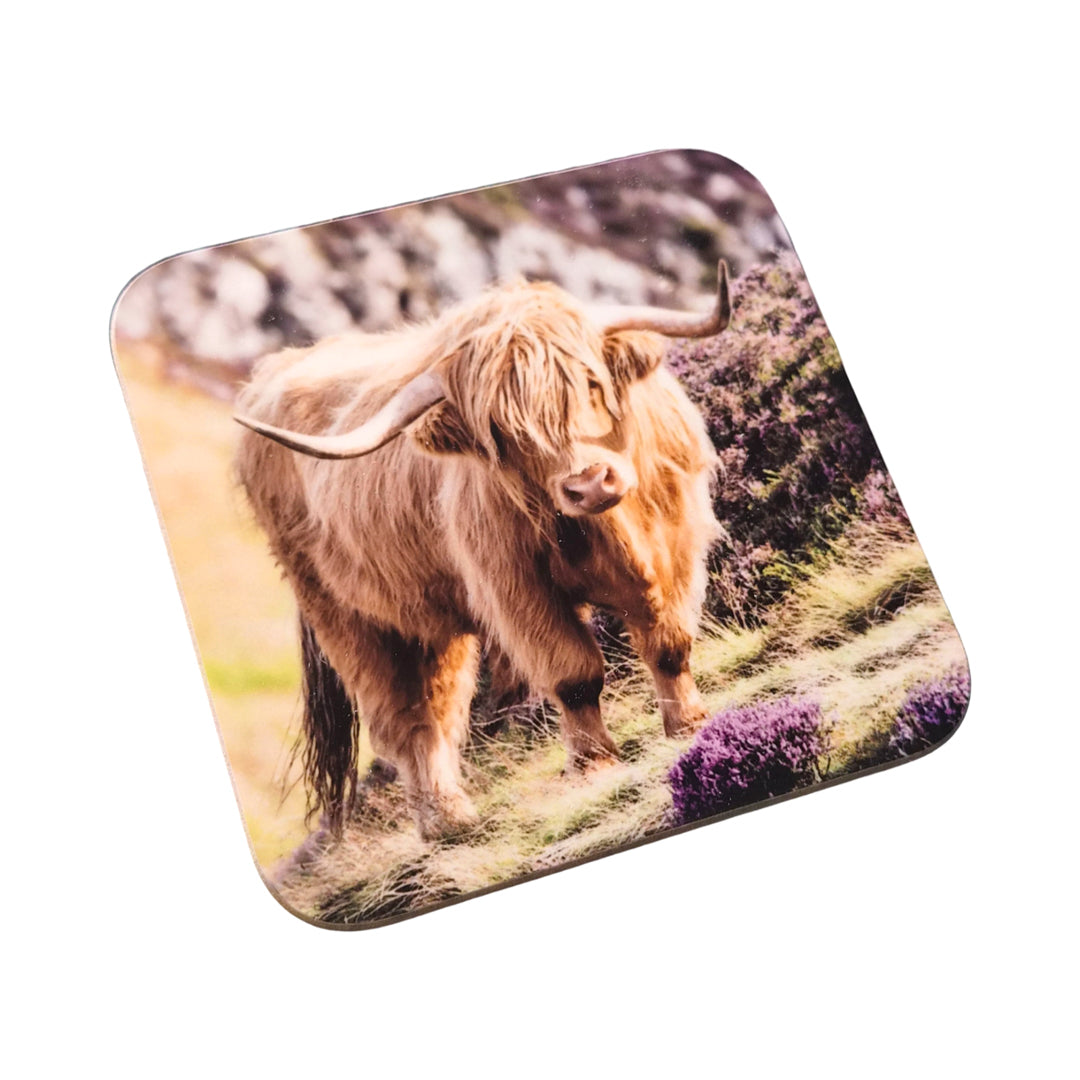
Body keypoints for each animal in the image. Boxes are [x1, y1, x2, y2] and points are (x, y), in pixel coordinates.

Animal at [234, 263, 730, 840]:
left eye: (590, 383)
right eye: (504, 431)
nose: (589, 483)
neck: (616, 529)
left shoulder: (678, 542)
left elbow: (670, 642)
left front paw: (690, 724)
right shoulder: (518, 591)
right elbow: (574, 672)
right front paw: (594, 763)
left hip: (431, 625)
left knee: (442, 708)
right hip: (346, 618)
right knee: (406, 718)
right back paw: (446, 819)